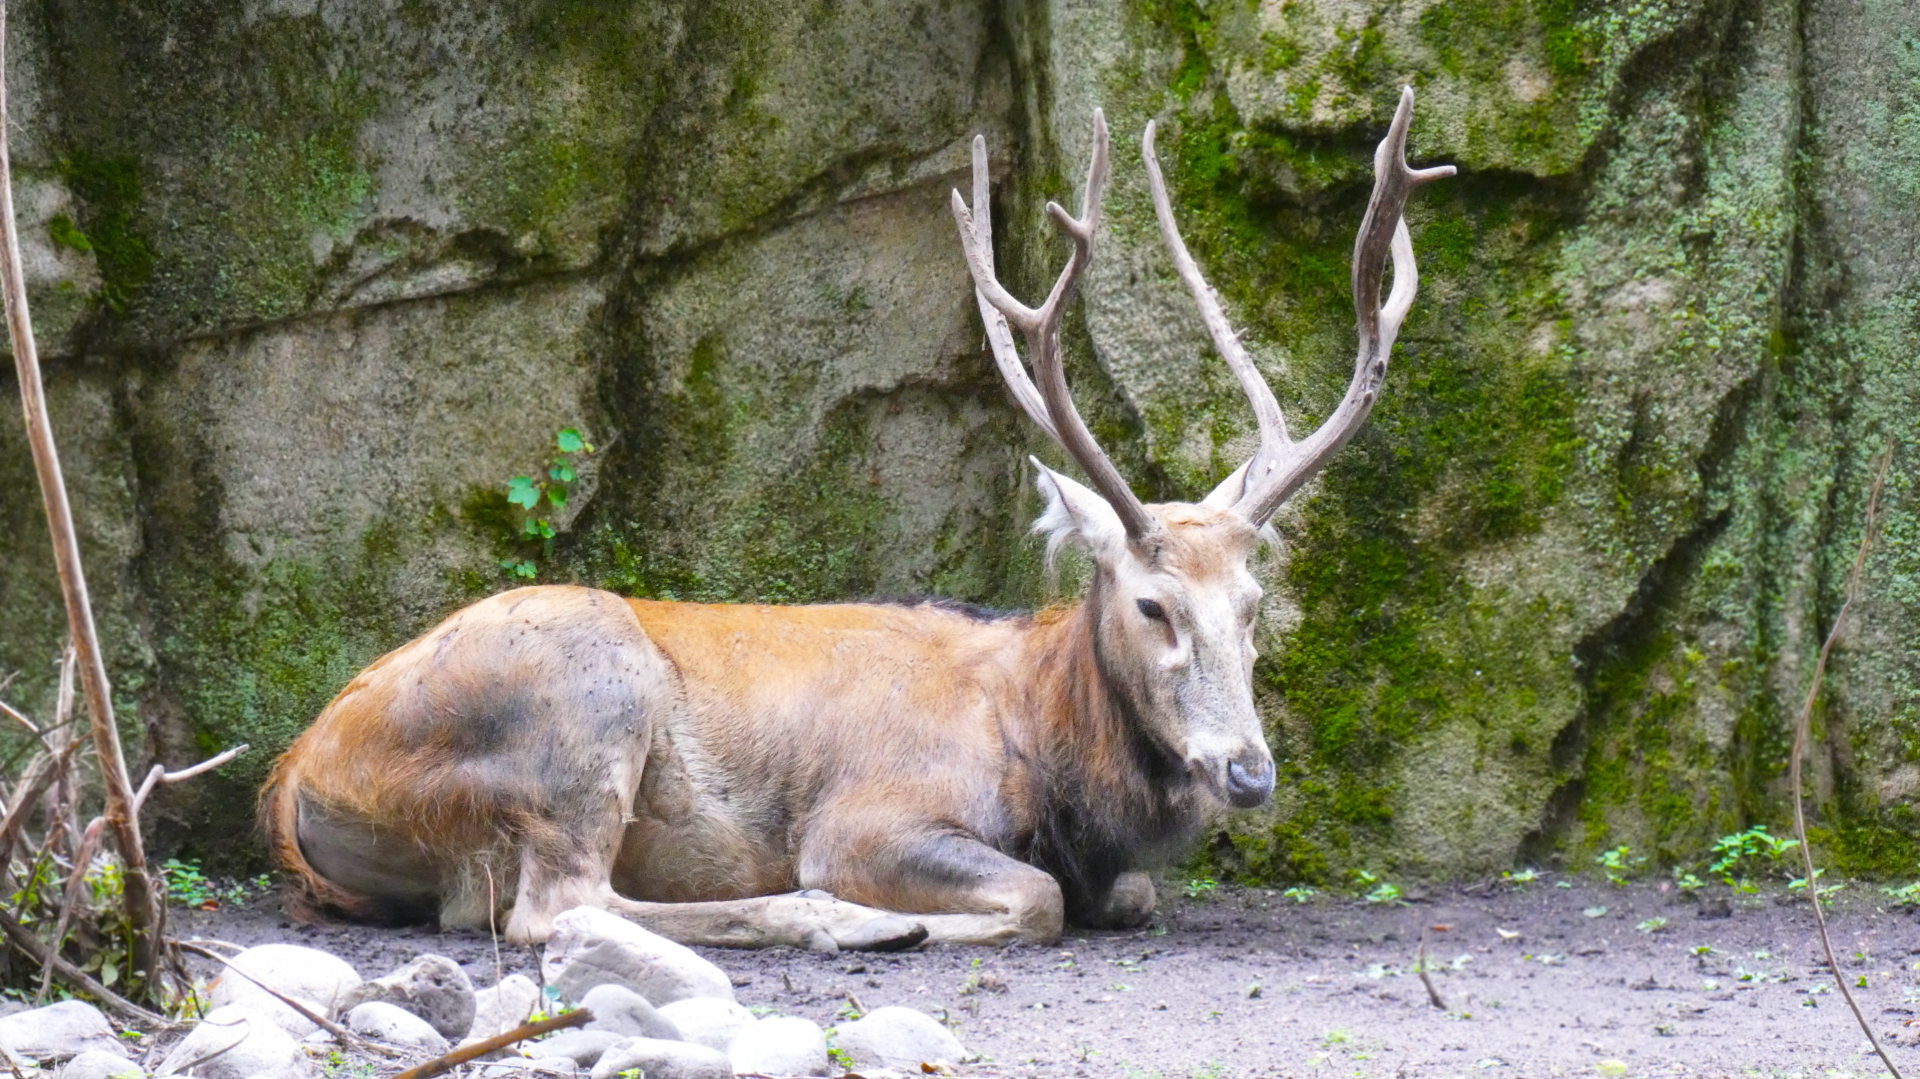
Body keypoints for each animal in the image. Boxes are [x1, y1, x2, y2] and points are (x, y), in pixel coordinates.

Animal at [260, 88, 1452, 951]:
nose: (1249, 771)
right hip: (580, 700)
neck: (1046, 748)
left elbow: (1126, 895)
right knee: (558, 905)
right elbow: (1037, 897)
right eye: (1154, 603)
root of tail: (296, 777)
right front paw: (913, 913)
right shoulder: (870, 811)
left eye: (1255, 603)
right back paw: (851, 923)